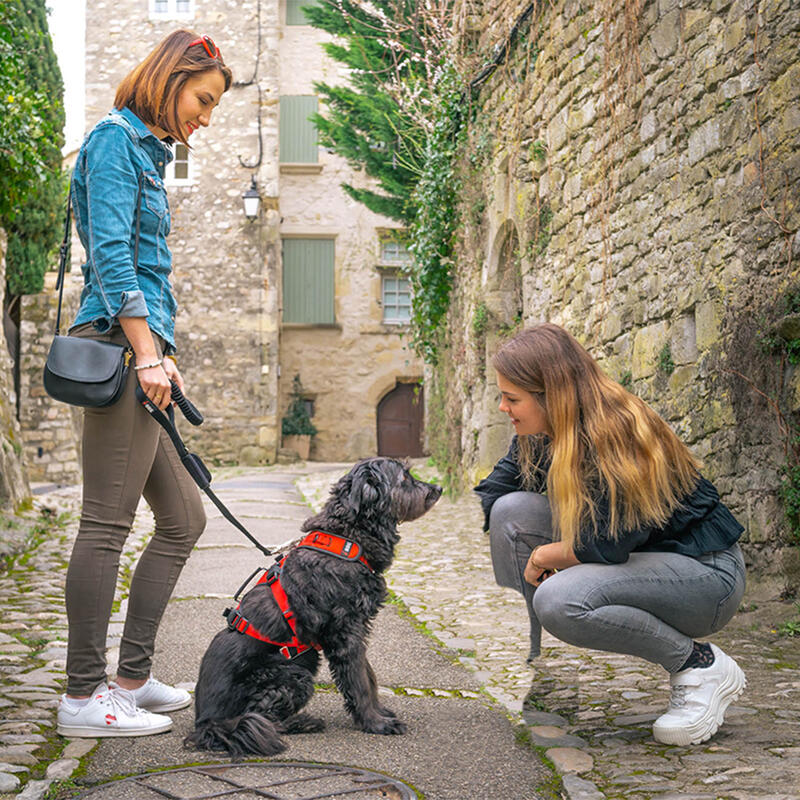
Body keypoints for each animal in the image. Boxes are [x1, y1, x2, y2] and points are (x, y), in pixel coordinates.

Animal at [184, 456, 440, 756]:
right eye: (405, 477)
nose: (438, 488)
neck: (349, 536)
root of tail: (206, 722)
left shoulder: (356, 631)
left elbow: (369, 676)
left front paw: (380, 713)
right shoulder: (344, 635)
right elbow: (360, 683)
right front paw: (375, 723)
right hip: (294, 675)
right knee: (262, 718)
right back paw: (303, 722)